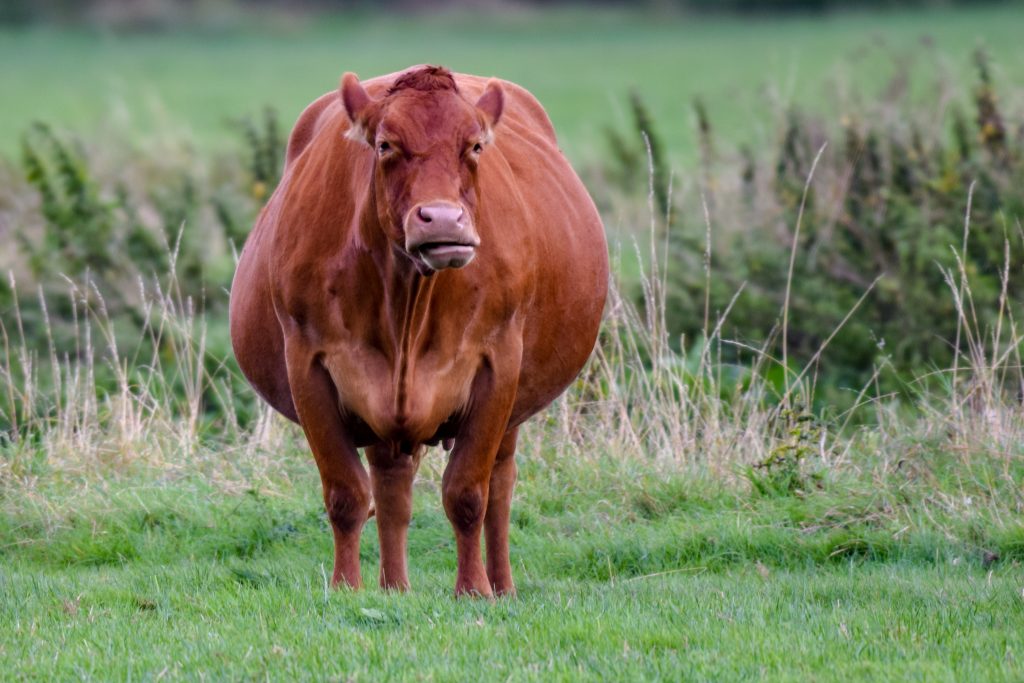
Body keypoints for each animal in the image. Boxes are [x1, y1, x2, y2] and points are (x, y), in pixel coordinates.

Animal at [228, 65, 602, 598]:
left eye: (475, 146)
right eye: (386, 145)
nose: (442, 218)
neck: (406, 298)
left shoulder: (497, 365)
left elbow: (467, 493)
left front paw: (472, 590)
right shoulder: (307, 364)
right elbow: (346, 494)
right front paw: (347, 587)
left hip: (514, 407)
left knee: (500, 486)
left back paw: (502, 586)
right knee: (392, 488)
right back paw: (394, 587)